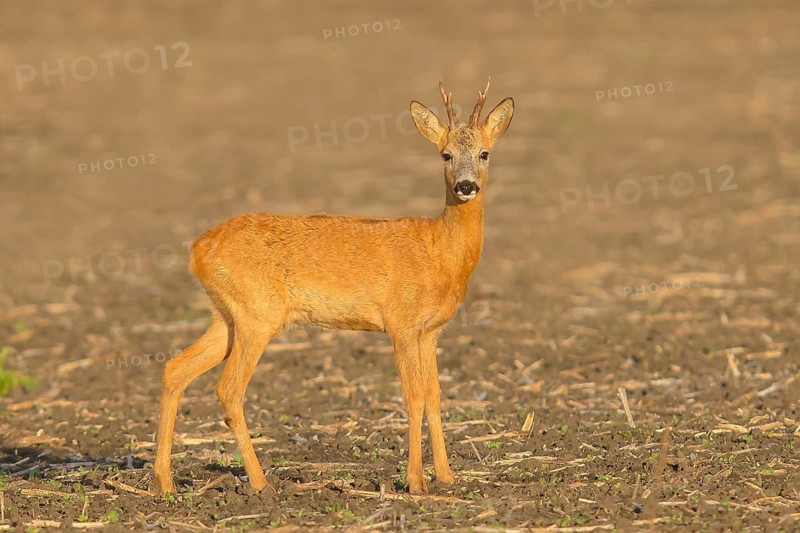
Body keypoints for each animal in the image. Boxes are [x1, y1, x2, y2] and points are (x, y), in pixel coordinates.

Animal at [153, 79, 514, 495]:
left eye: (485, 153)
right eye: (445, 155)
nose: (465, 186)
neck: (440, 250)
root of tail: (196, 250)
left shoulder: (430, 331)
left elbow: (436, 397)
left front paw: (447, 476)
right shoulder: (401, 324)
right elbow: (413, 398)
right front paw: (415, 483)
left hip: (227, 316)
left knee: (175, 368)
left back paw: (165, 481)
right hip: (257, 315)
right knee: (228, 389)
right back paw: (261, 483)